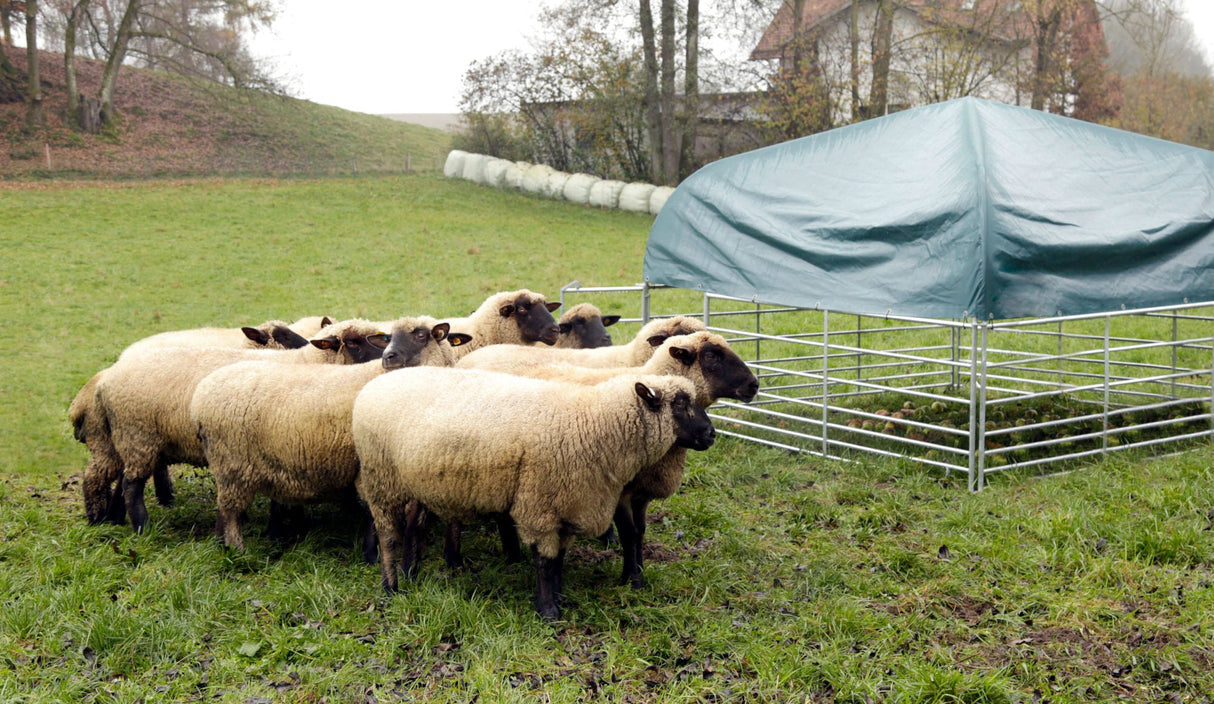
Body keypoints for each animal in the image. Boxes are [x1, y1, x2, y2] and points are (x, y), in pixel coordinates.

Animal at [95, 318, 392, 533]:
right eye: (352, 342)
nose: (389, 357)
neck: (307, 360)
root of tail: (109, 377)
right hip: (138, 436)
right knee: (132, 484)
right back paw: (141, 527)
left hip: (137, 440)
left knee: (123, 478)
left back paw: (116, 518)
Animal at [191, 317, 470, 551]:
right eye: (354, 343)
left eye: (422, 336)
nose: (388, 357)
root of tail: (201, 396)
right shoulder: (369, 467)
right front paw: (372, 552)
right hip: (232, 464)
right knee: (230, 512)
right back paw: (237, 550)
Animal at [352, 368, 716, 620]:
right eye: (680, 403)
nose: (711, 434)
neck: (592, 423)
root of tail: (372, 386)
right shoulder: (540, 505)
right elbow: (544, 561)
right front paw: (548, 611)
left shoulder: (568, 505)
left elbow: (559, 560)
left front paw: (559, 598)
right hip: (381, 478)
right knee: (389, 534)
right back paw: (391, 587)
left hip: (416, 482)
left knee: (414, 524)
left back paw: (410, 574)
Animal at [446, 331, 759, 585]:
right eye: (711, 356)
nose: (754, 385)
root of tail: (475, 354)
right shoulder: (617, 488)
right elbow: (628, 532)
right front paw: (630, 578)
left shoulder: (640, 492)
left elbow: (640, 531)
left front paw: (639, 571)